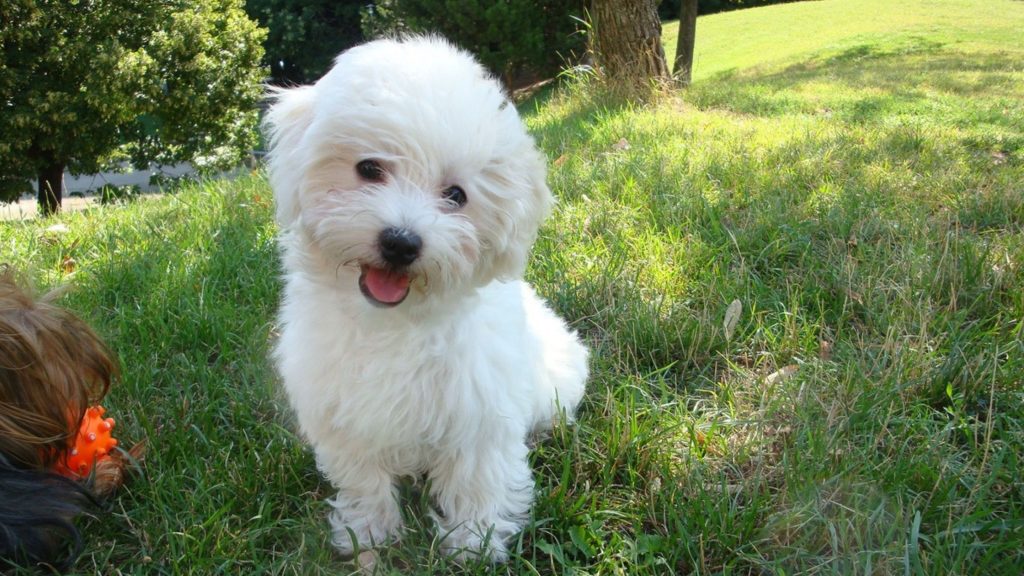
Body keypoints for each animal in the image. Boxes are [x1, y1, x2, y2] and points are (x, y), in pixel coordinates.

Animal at [260, 36, 589, 561]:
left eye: (456, 195)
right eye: (368, 168)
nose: (400, 241)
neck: (393, 322)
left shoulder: (479, 409)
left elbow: (477, 477)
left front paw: (474, 542)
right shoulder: (342, 411)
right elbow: (362, 476)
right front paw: (367, 529)